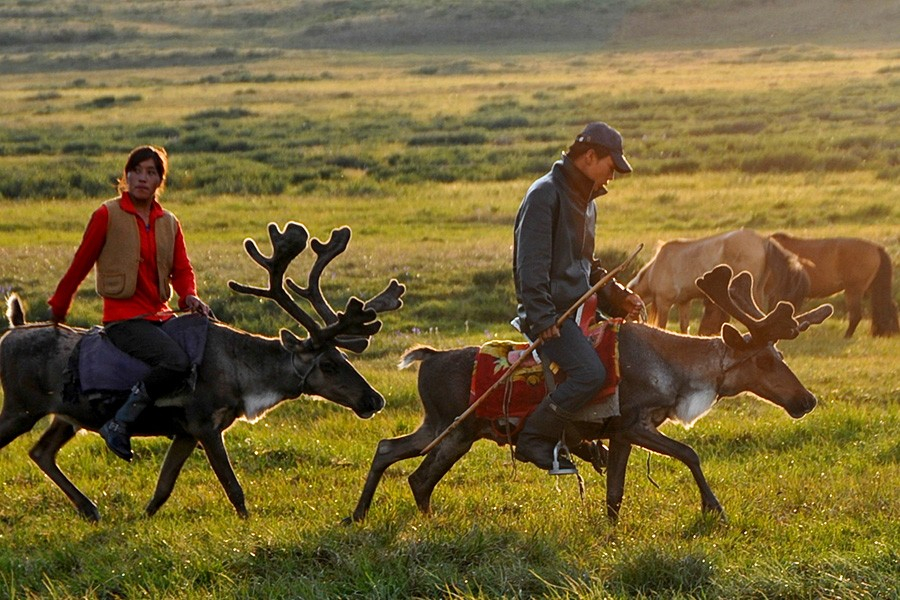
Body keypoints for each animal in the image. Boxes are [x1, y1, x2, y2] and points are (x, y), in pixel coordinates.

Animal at [624, 227, 808, 336]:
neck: (655, 269)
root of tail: (763, 241)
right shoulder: (684, 302)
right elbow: (684, 327)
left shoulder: (664, 302)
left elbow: (661, 326)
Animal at [768, 233, 900, 338]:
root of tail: (875, 247)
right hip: (871, 288)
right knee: (890, 306)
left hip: (854, 290)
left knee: (856, 315)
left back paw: (847, 336)